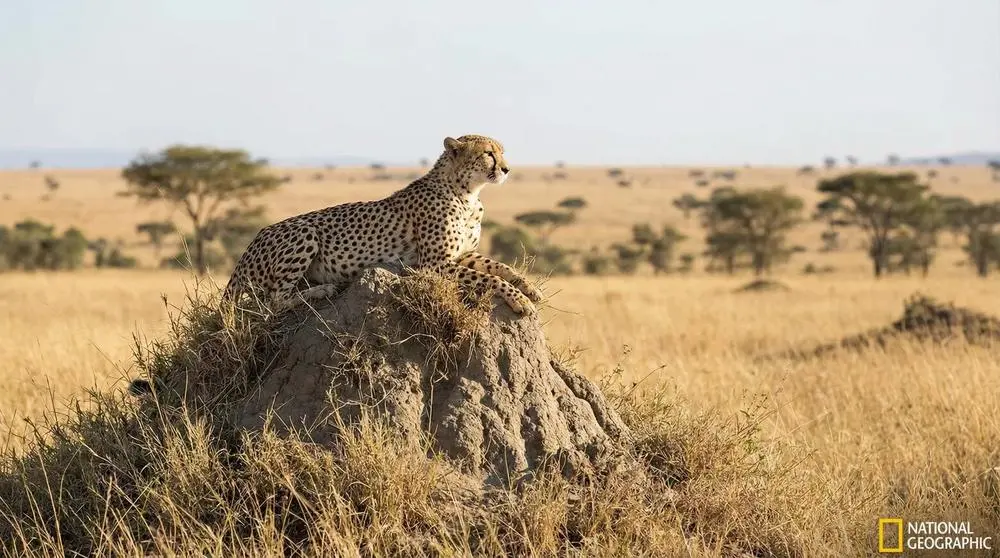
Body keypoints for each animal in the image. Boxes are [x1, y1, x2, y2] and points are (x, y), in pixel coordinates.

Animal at [220, 134, 543, 315]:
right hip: (305, 232)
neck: (467, 192)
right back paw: (322, 290)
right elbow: (489, 278)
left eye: (502, 152)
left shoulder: (462, 254)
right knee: (273, 302)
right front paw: (518, 300)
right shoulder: (433, 264)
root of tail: (248, 248)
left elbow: (500, 266)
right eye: (489, 153)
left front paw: (529, 288)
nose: (506, 169)